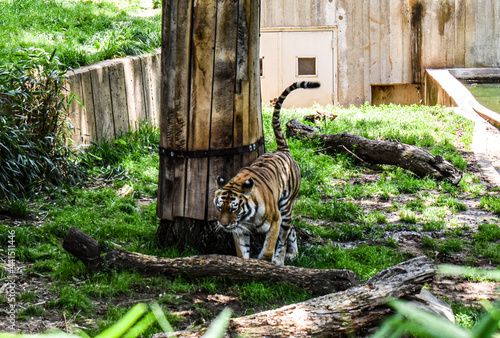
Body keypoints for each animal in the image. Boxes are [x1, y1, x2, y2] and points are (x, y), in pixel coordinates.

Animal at [214, 81, 320, 264]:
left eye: (234, 209)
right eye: (220, 207)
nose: (224, 225)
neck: (247, 218)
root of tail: (283, 150)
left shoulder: (275, 221)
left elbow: (269, 249)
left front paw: (265, 263)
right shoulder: (240, 230)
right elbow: (242, 252)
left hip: (286, 207)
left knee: (284, 236)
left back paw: (282, 259)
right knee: (292, 230)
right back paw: (293, 254)